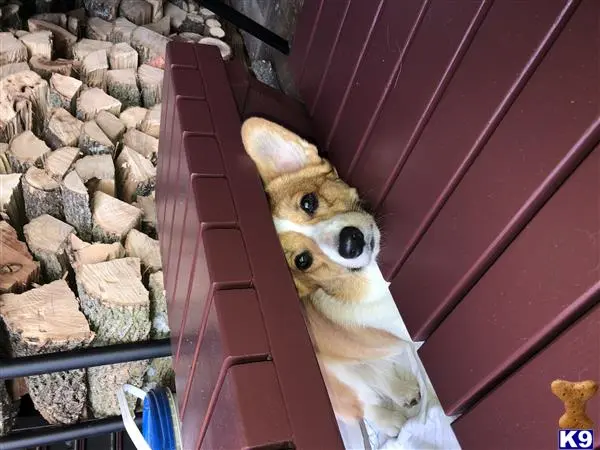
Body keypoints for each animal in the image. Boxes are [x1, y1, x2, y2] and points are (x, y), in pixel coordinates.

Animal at [240, 118, 422, 438]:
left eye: (309, 202)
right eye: (302, 261)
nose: (351, 243)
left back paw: (403, 391)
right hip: (340, 379)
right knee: (363, 403)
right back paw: (391, 421)